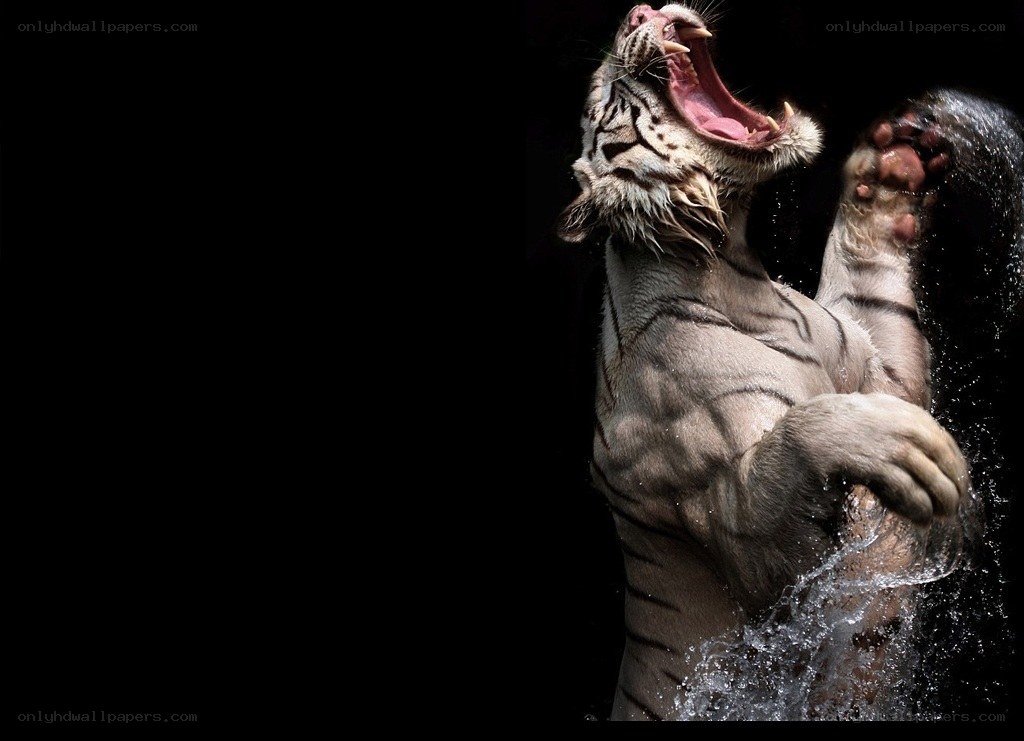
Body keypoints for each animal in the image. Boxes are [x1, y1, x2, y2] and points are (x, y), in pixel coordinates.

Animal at [557, 2, 1022, 721]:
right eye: (605, 95)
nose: (642, 10)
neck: (738, 275)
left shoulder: (886, 370)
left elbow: (872, 296)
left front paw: (889, 172)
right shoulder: (744, 531)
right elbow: (793, 444)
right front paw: (904, 450)